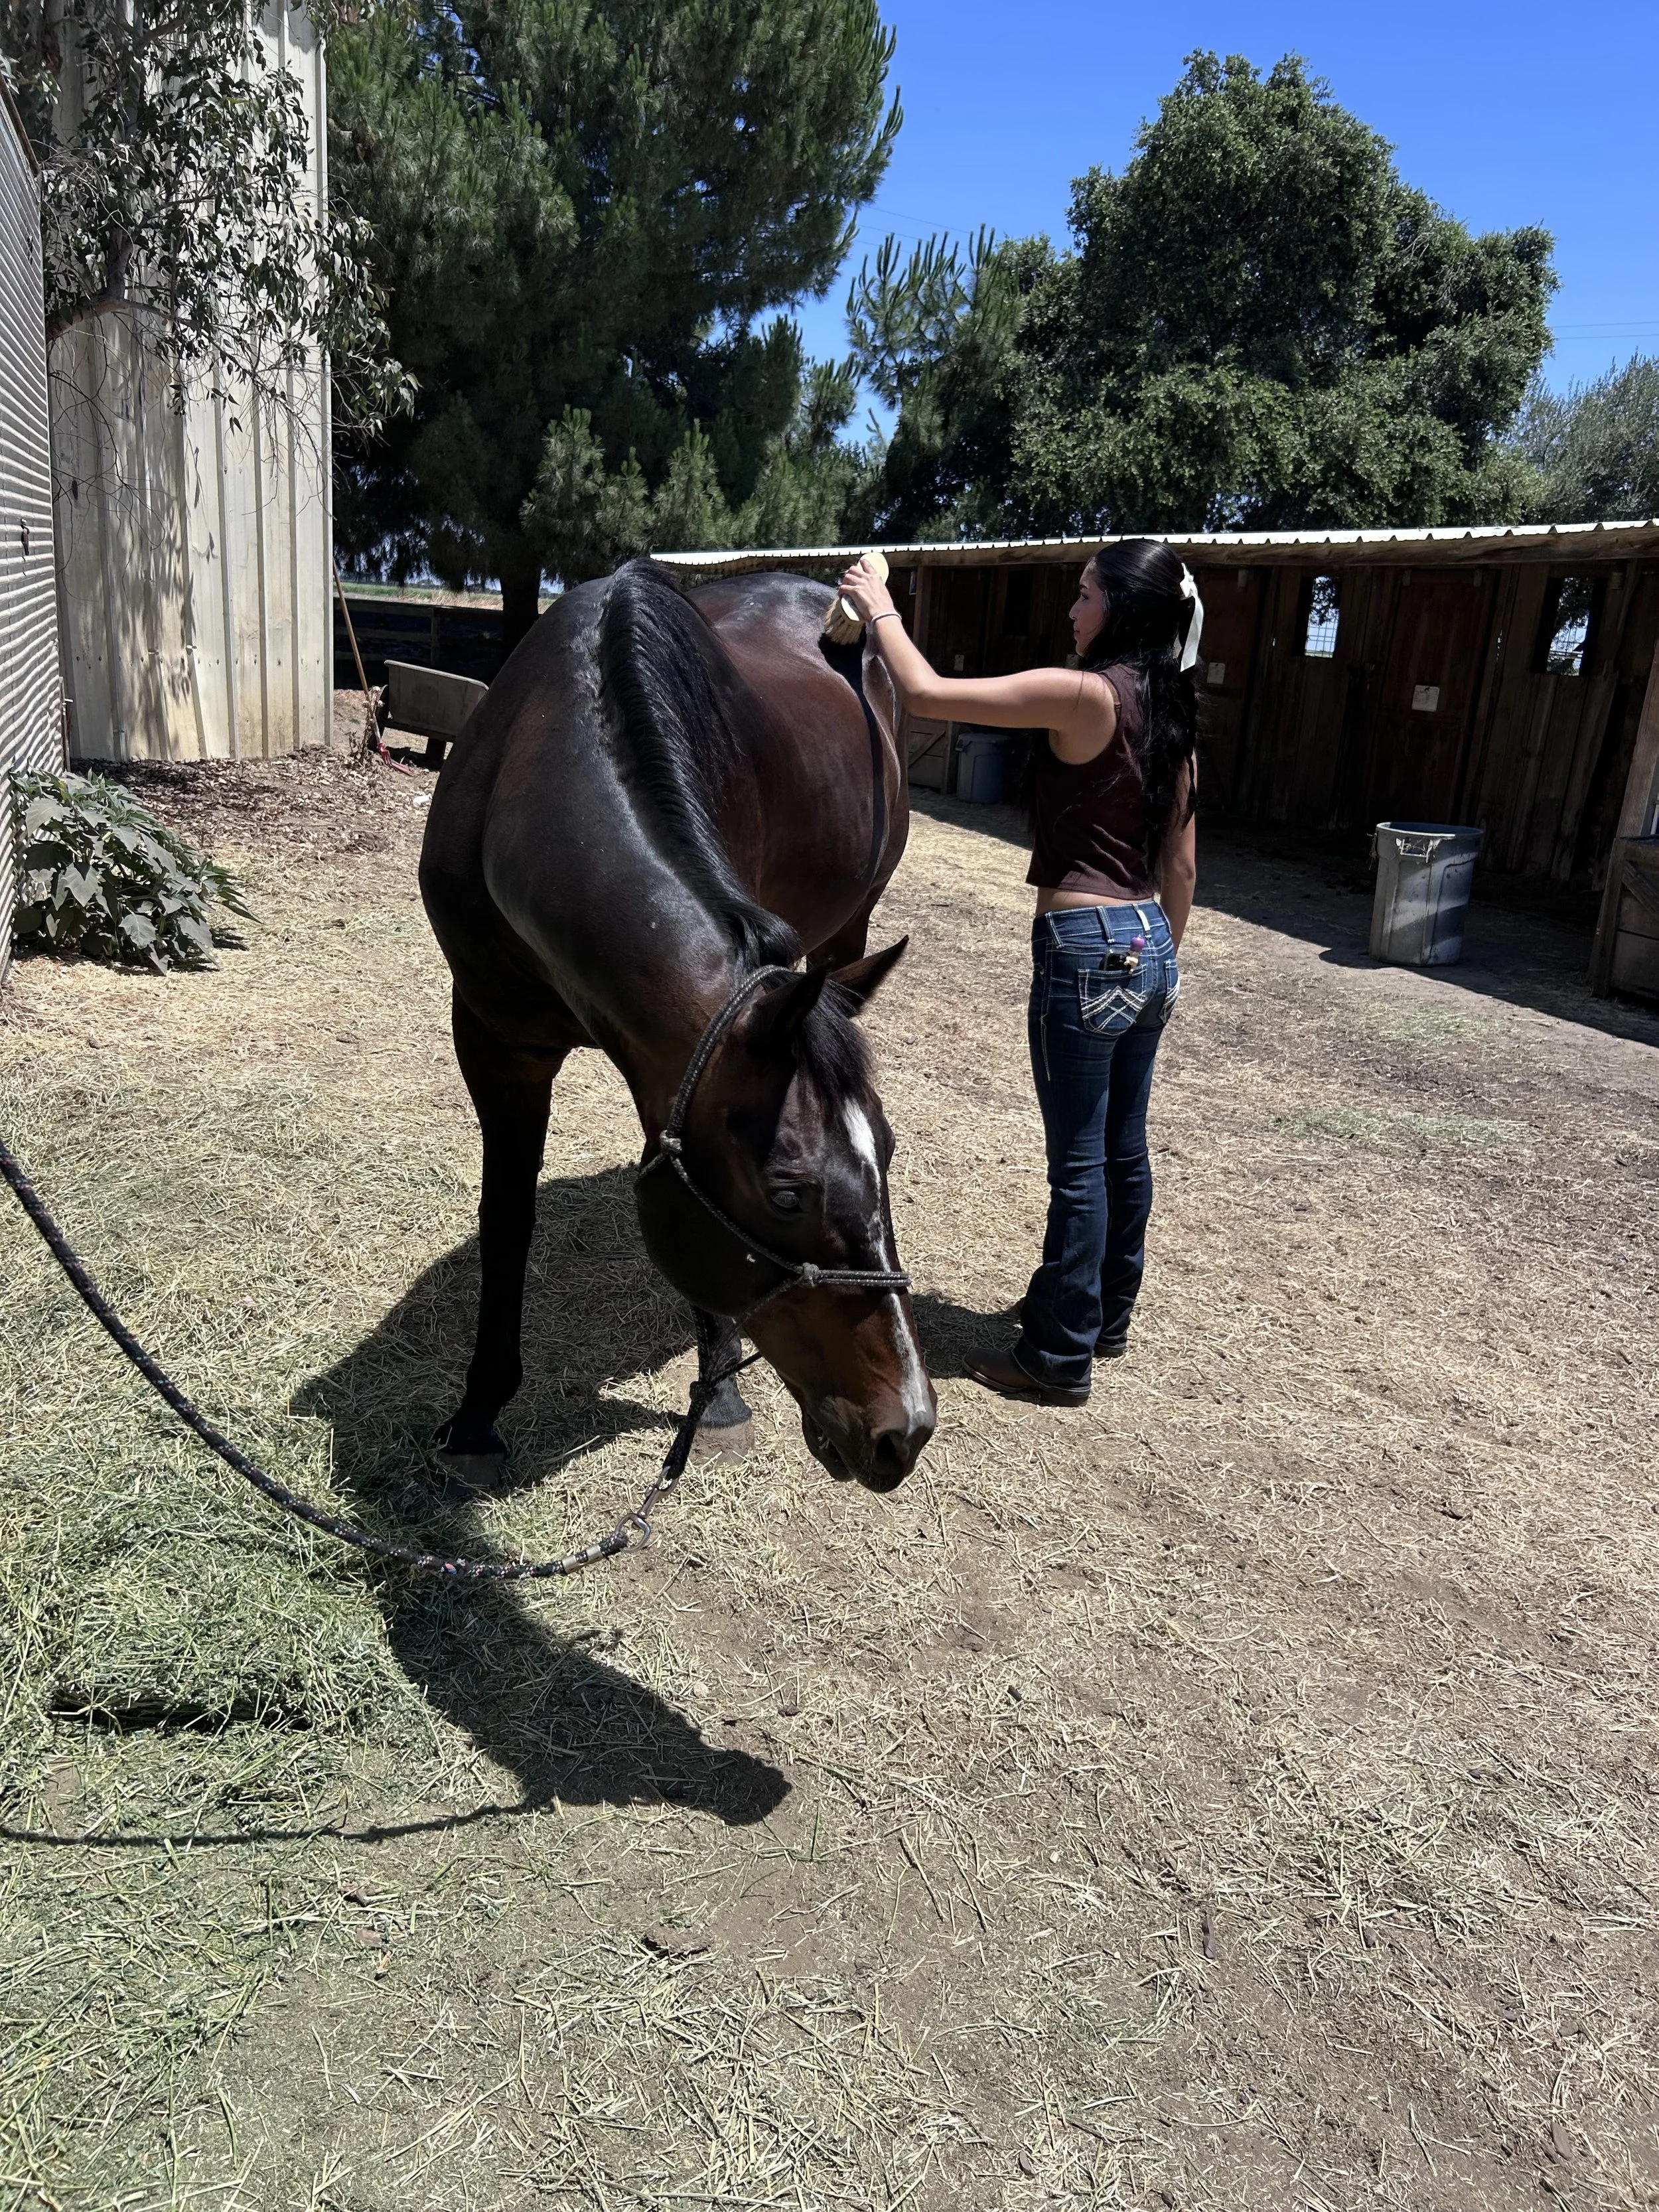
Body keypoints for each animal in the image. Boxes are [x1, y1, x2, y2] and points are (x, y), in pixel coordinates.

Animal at [417, 556, 936, 1496]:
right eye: (787, 1194)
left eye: (888, 1153)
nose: (904, 1430)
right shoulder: (493, 1037)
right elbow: (505, 1218)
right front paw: (477, 1415)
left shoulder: (662, 1065)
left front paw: (720, 1395)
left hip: (851, 924)